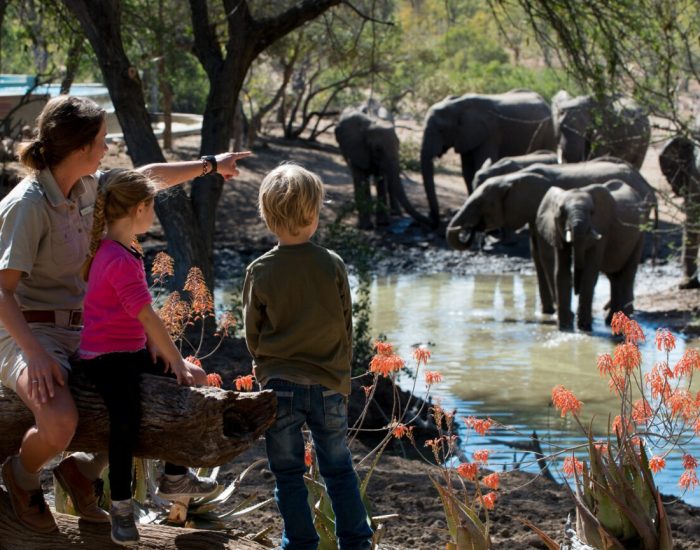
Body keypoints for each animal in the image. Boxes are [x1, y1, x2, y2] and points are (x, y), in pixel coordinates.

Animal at [420, 90, 556, 224]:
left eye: (441, 130)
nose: (432, 216)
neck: (457, 105)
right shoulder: (466, 136)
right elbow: (467, 171)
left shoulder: (489, 133)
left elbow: (480, 164)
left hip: (549, 130)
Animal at [445, 158, 657, 314]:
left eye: (482, 203)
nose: (467, 231)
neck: (511, 178)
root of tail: (645, 183)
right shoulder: (537, 214)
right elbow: (536, 254)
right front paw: (546, 312)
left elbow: (546, 254)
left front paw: (554, 309)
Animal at [534, 180, 647, 331]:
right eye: (562, 212)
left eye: (592, 212)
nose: (575, 290)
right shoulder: (556, 231)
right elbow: (560, 272)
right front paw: (565, 328)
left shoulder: (602, 228)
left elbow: (589, 273)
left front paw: (584, 327)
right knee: (614, 277)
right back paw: (611, 320)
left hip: (640, 234)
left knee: (627, 274)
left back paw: (623, 323)